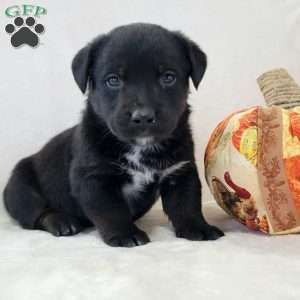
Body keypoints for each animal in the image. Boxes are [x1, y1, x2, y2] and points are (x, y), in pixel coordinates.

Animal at [2, 23, 223, 247]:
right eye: (113, 80)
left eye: (168, 77)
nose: (143, 116)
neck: (140, 147)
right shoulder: (95, 178)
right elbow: (111, 211)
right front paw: (126, 234)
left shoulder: (180, 172)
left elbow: (186, 204)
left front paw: (198, 228)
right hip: (20, 187)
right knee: (35, 212)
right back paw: (62, 222)